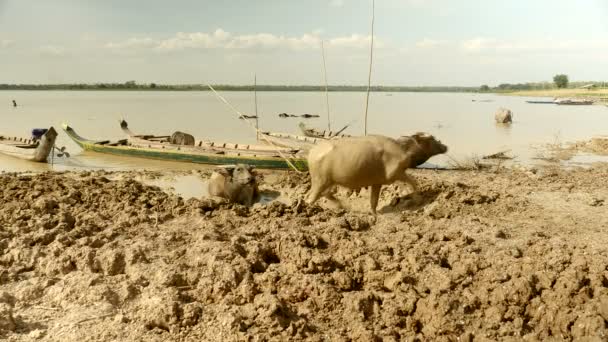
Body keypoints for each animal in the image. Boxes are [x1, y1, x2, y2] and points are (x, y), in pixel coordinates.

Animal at [308, 133, 446, 214]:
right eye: (431, 138)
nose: (445, 146)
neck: (404, 151)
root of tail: (311, 154)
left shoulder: (377, 182)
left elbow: (373, 201)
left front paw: (374, 215)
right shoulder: (396, 174)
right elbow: (412, 182)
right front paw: (418, 199)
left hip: (328, 181)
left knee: (324, 193)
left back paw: (343, 207)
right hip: (320, 180)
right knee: (311, 198)